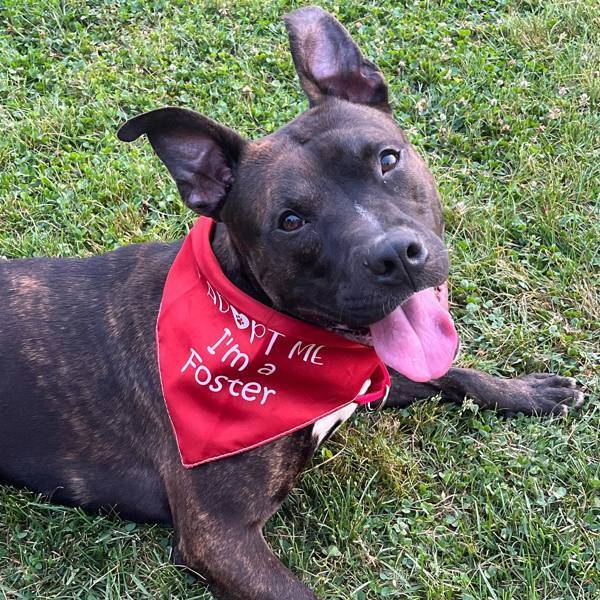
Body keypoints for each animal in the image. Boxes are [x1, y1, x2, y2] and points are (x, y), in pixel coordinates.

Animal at [0, 5, 580, 600]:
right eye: (291, 221)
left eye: (387, 160)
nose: (396, 255)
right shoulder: (220, 536)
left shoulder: (369, 376)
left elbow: (453, 372)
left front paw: (529, 391)